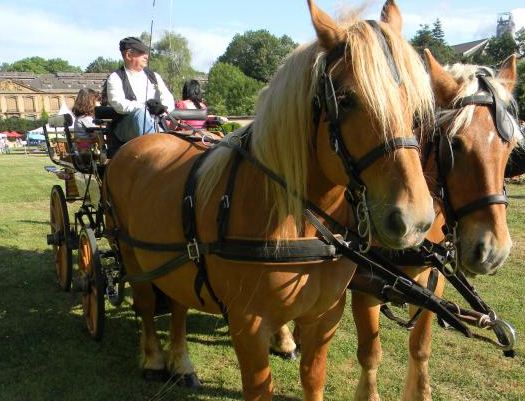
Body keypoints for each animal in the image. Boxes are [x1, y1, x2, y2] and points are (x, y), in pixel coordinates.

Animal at [102, 1, 434, 398]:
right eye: (346, 99)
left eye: (416, 104)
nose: (413, 220)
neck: (299, 226)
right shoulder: (248, 325)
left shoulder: (324, 319)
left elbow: (313, 379)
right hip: (131, 254)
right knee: (147, 301)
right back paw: (153, 359)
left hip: (175, 262)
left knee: (178, 305)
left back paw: (181, 362)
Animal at [350, 54, 516, 400]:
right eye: (455, 144)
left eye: (509, 147)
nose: (493, 251)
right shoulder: (364, 282)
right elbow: (370, 355)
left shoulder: (433, 281)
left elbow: (421, 348)